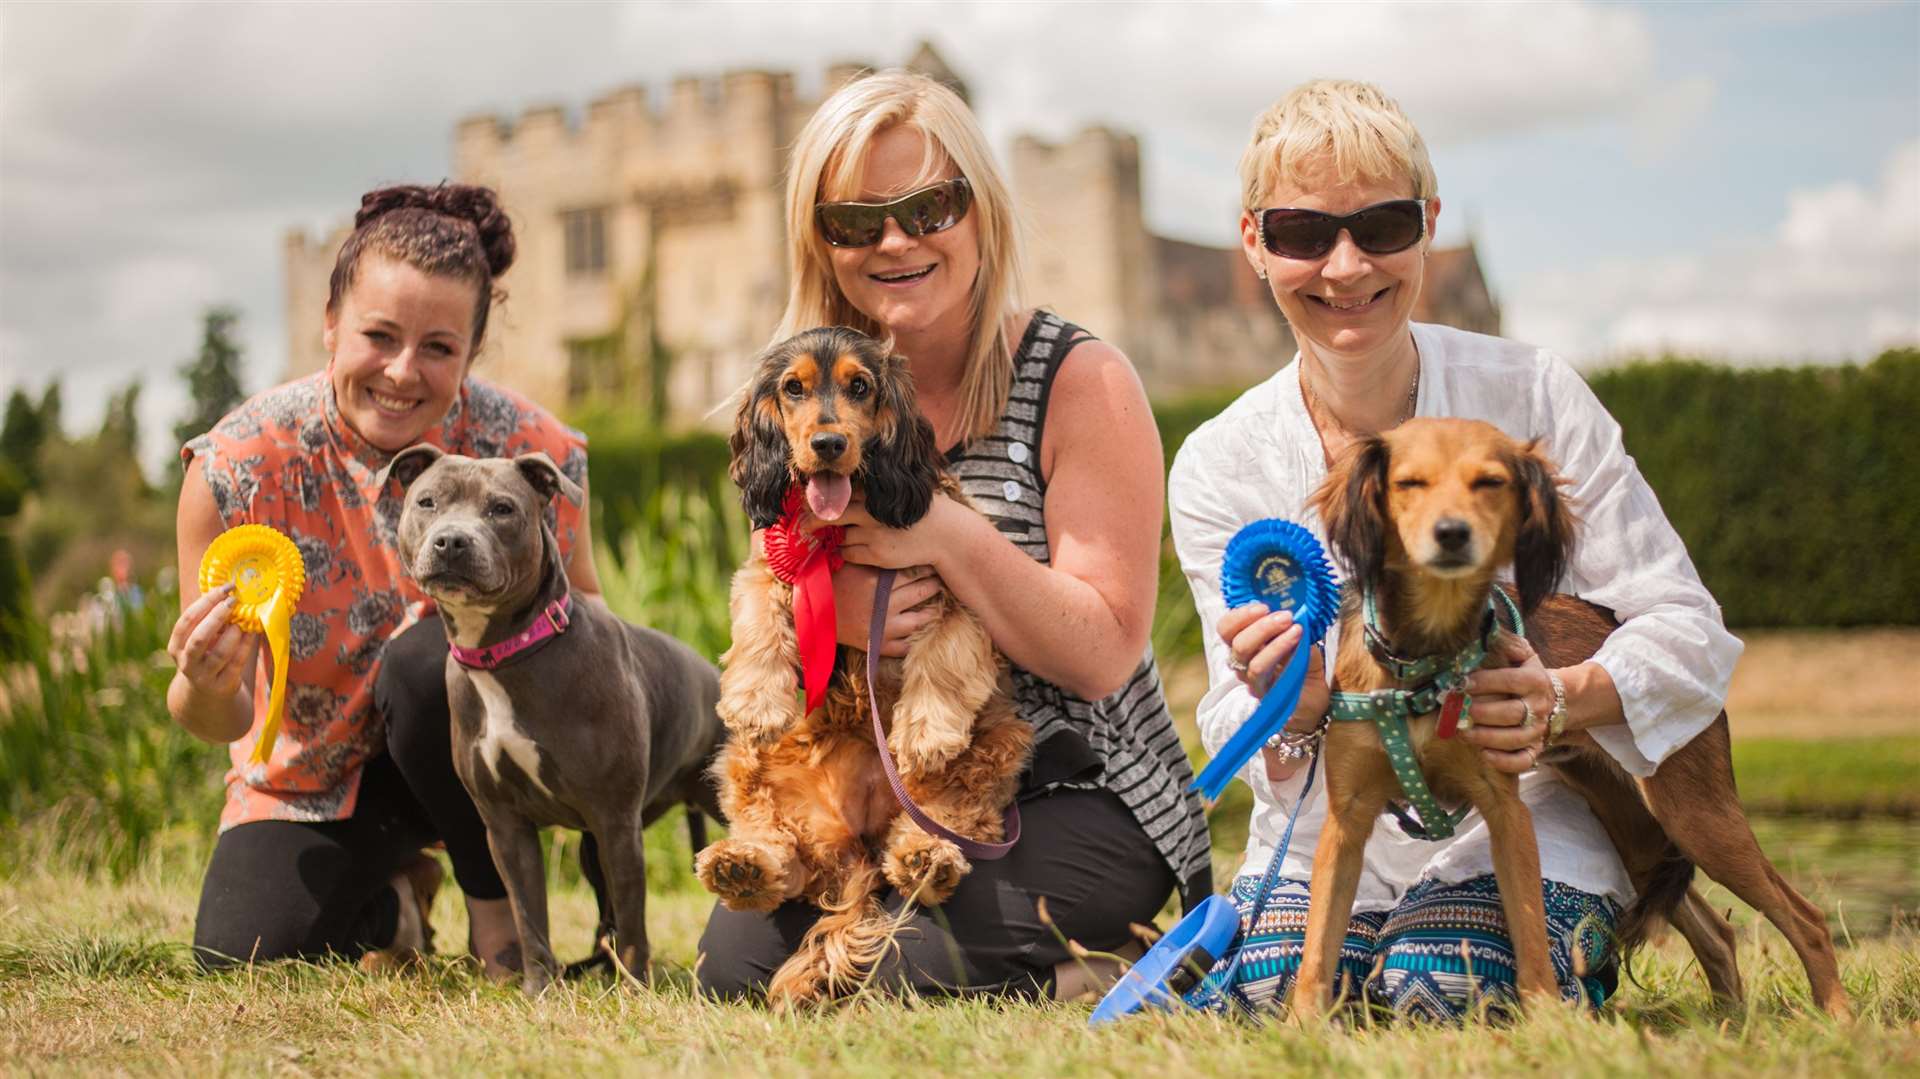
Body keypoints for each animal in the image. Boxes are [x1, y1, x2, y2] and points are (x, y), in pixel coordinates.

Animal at [1297, 416, 1850, 1013]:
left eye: (1490, 483)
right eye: (1409, 483)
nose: (1452, 534)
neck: (1427, 658)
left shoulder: (1505, 810)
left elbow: (1531, 941)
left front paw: (1545, 1017)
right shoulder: (1348, 818)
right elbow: (1318, 948)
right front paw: (1305, 1023)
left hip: (1695, 817)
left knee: (1806, 919)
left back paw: (1836, 1017)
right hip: (1636, 829)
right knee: (1719, 932)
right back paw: (1730, 1021)